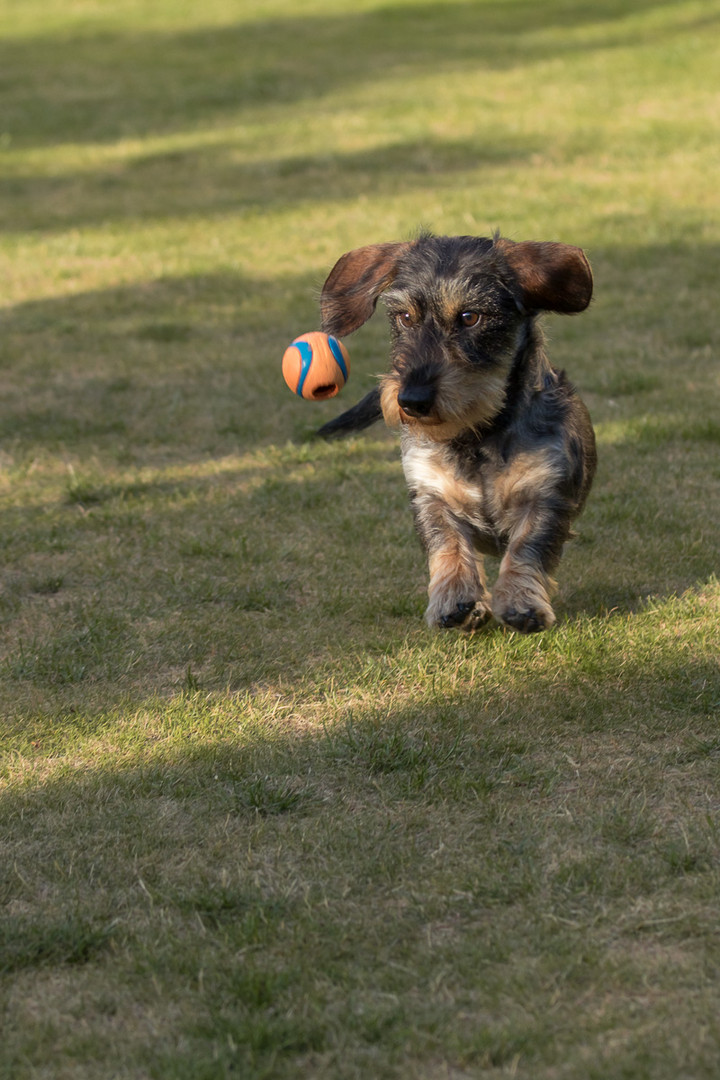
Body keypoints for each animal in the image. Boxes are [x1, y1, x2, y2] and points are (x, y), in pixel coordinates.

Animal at [317, 232, 595, 630]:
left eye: (469, 317)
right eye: (404, 317)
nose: (411, 400)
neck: (477, 435)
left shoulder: (546, 493)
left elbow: (527, 547)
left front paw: (521, 601)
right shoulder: (430, 495)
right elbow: (447, 545)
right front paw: (454, 599)